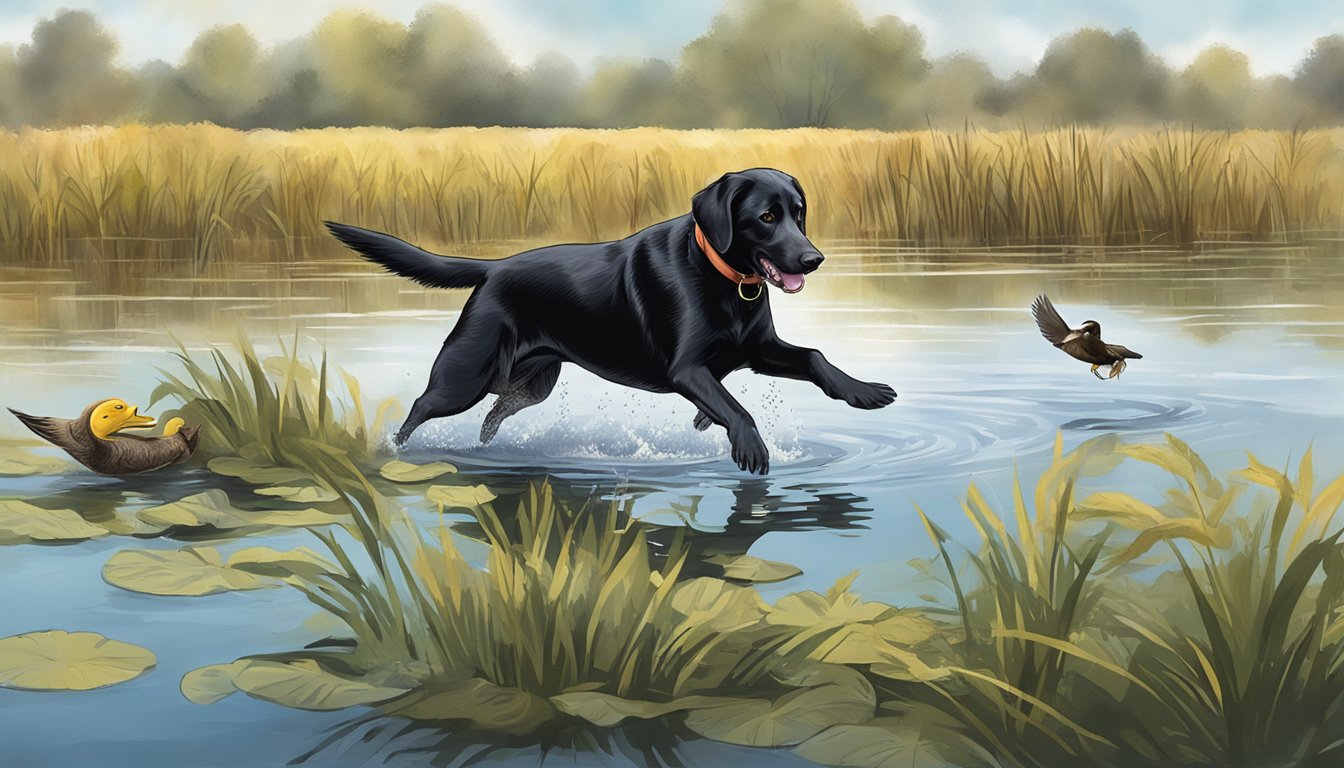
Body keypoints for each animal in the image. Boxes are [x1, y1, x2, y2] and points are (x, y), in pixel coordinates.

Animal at [323, 168, 892, 476]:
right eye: (768, 218)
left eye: (799, 212)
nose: (814, 259)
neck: (725, 277)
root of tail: (494, 267)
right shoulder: (687, 369)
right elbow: (737, 408)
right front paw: (748, 446)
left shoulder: (757, 350)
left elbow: (814, 358)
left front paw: (863, 392)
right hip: (464, 374)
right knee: (420, 407)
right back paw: (396, 452)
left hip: (533, 384)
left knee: (492, 417)